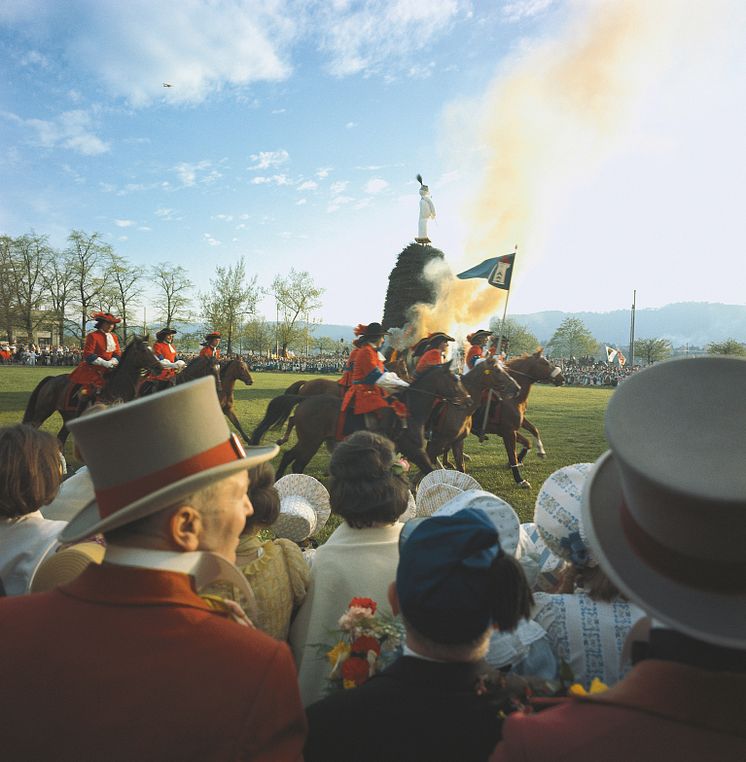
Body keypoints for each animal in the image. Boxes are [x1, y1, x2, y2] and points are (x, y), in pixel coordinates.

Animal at [22, 336, 162, 442]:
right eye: (143, 350)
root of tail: (51, 379)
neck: (117, 387)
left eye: (152, 349)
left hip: (68, 417)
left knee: (61, 437)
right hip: (42, 412)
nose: (159, 368)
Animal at [268, 362, 468, 476]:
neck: (410, 410)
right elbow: (428, 471)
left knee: (289, 456)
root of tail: (305, 398)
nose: (468, 400)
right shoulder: (415, 450)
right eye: (455, 379)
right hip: (311, 442)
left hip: (309, 441)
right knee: (297, 463)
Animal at [470, 346, 564, 484]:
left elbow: (532, 435)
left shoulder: (517, 424)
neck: (513, 398)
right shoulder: (508, 432)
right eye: (546, 363)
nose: (562, 378)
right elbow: (512, 454)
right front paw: (519, 479)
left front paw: (539, 452)